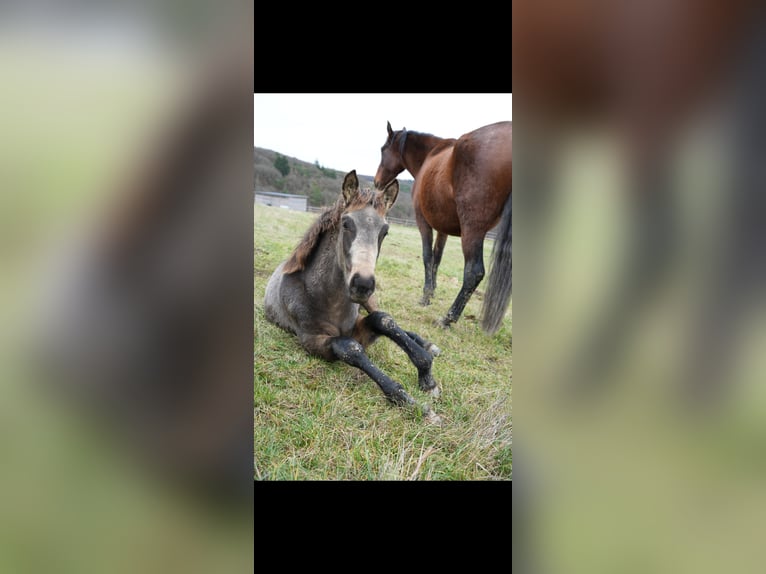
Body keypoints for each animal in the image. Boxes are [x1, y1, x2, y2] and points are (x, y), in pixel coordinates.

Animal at [376, 122, 512, 338]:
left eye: (383, 150)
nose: (377, 182)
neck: (430, 156)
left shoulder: (424, 222)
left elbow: (427, 256)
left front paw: (425, 296)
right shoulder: (443, 229)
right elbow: (437, 258)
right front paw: (432, 291)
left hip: (472, 230)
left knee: (474, 273)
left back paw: (448, 319)